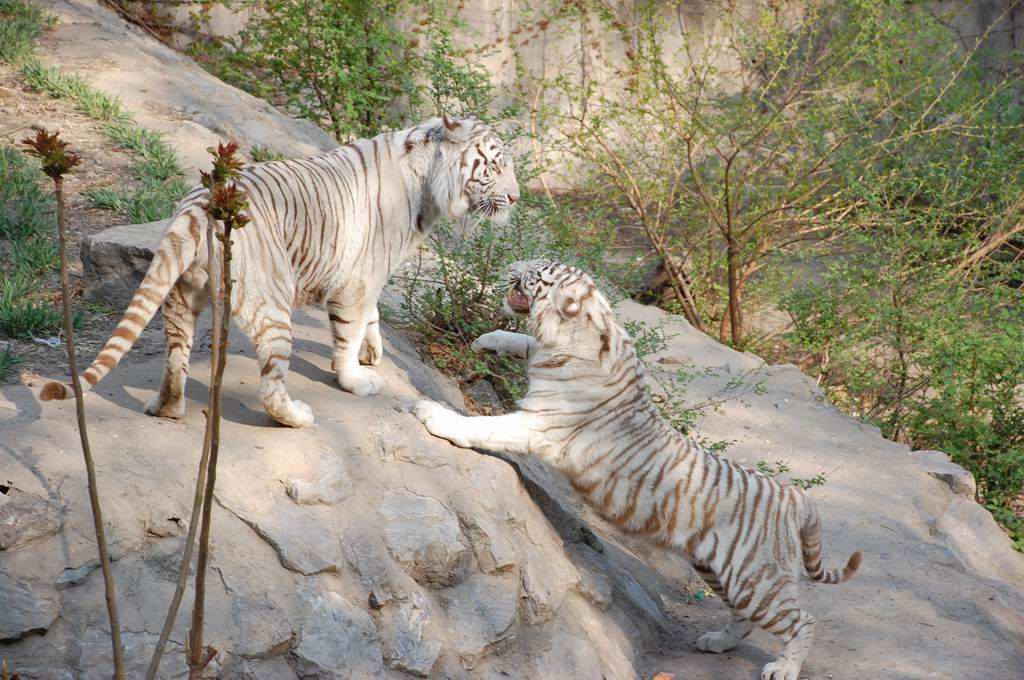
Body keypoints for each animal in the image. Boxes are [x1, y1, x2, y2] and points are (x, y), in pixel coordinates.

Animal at [41, 116, 520, 426]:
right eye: (495, 165)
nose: (516, 199)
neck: (428, 184)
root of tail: (198, 205)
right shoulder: (360, 276)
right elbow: (350, 329)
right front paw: (355, 377)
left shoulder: (370, 273)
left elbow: (372, 317)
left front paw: (373, 353)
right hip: (273, 301)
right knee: (270, 385)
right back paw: (299, 416)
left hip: (181, 295)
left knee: (176, 360)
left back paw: (165, 409)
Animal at [411, 259, 860, 680]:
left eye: (537, 273)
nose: (512, 266)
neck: (580, 331)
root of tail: (796, 496)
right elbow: (523, 340)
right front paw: (488, 340)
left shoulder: (537, 425)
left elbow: (485, 426)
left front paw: (433, 415)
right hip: (718, 570)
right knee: (744, 618)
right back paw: (717, 641)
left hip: (755, 579)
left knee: (803, 621)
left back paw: (782, 668)